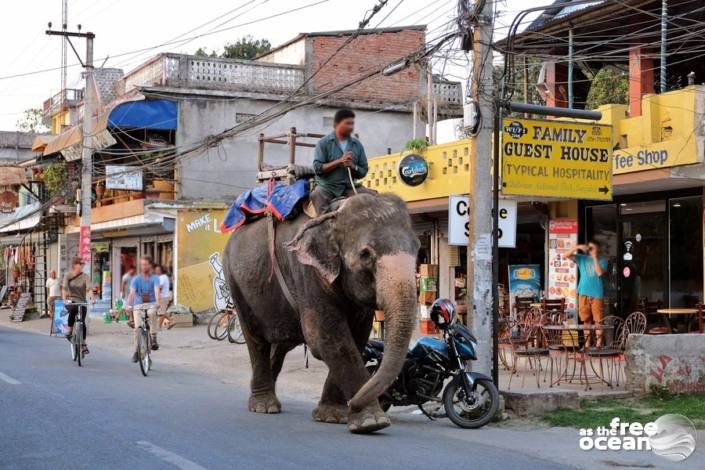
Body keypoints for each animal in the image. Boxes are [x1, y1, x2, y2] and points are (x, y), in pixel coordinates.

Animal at [223, 192, 418, 434]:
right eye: (365, 254)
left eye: (418, 248)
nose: (353, 404)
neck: (334, 213)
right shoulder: (307, 272)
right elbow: (327, 337)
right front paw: (372, 422)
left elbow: (357, 338)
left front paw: (333, 416)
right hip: (236, 283)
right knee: (256, 339)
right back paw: (263, 406)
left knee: (280, 345)